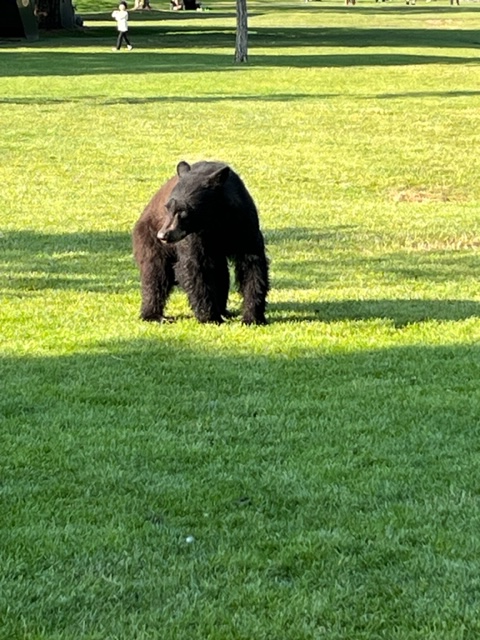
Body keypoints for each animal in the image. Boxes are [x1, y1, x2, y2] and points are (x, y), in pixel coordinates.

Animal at [132, 160, 270, 324]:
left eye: (184, 210)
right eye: (167, 207)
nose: (163, 235)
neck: (216, 221)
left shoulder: (244, 225)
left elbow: (252, 265)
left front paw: (252, 317)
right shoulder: (193, 236)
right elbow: (195, 266)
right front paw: (209, 317)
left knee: (221, 273)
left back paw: (223, 310)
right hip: (149, 238)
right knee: (155, 273)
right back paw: (153, 315)